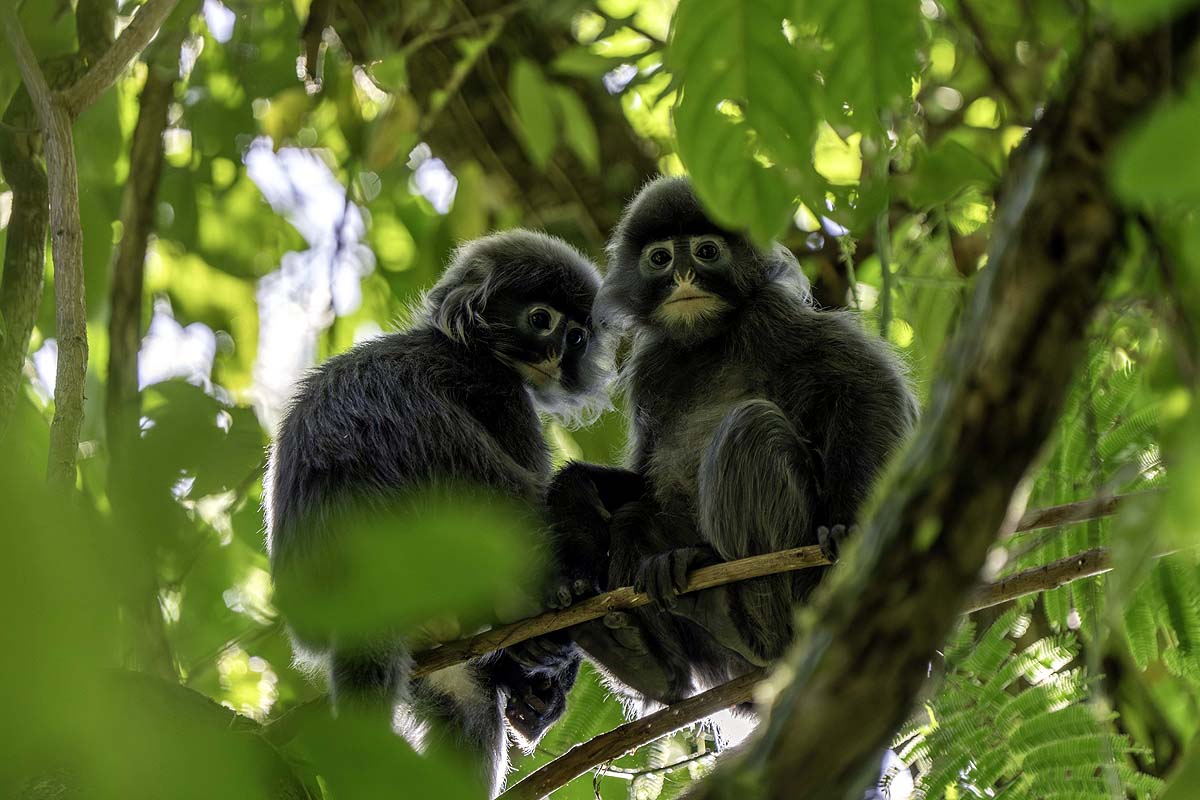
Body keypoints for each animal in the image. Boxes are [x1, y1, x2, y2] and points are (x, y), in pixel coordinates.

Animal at [263, 229, 613, 797]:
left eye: (579, 338)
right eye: (542, 319)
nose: (557, 352)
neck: (459, 342)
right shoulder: (498, 389)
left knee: (471, 714)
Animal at [545, 176, 919, 710]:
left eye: (706, 252)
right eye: (660, 258)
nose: (683, 277)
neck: (708, 342)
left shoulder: (773, 315)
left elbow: (872, 389)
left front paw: (847, 526)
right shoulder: (653, 366)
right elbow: (642, 478)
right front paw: (572, 495)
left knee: (752, 427)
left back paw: (757, 627)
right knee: (635, 517)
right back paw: (646, 657)